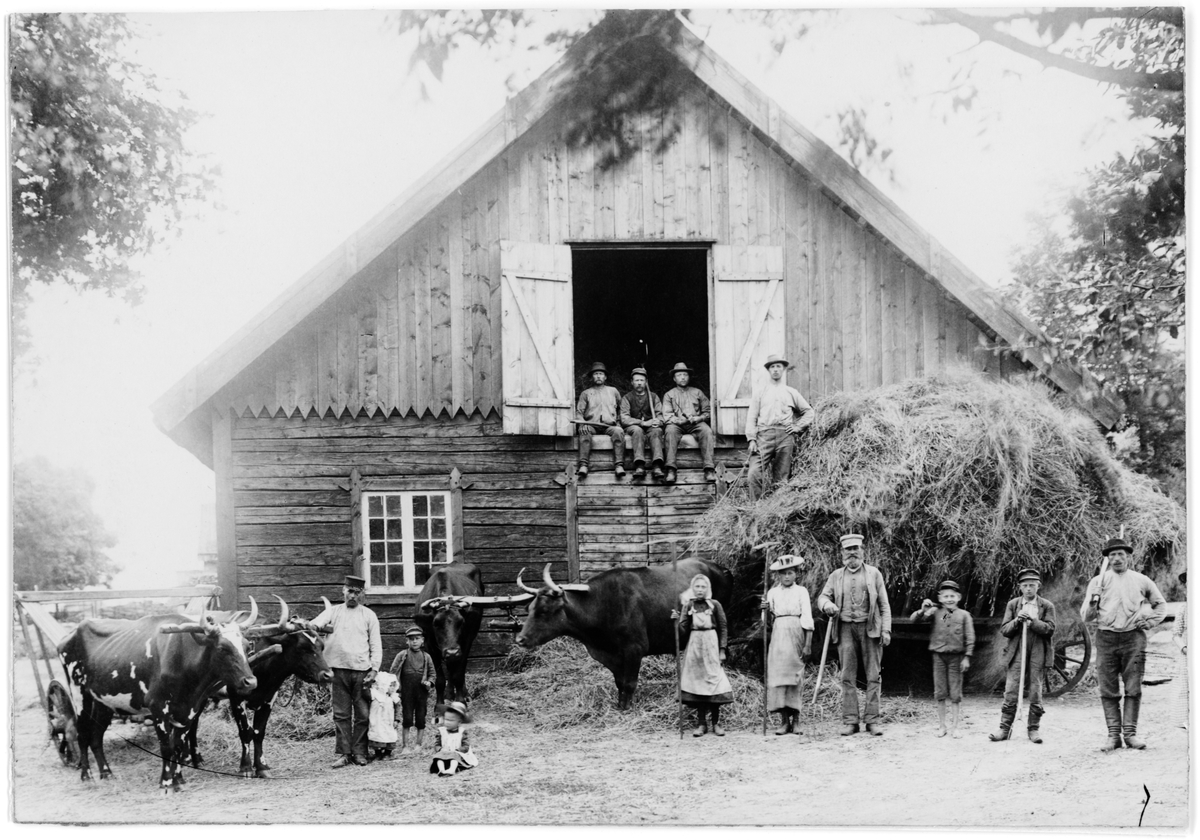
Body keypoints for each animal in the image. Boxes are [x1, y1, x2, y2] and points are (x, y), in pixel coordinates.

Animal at [58, 600, 260, 792]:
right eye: (222, 648)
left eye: (247, 646)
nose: (250, 682)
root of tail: (69, 635)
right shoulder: (158, 707)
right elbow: (166, 747)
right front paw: (166, 782)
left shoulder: (188, 710)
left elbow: (178, 746)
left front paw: (179, 781)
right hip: (79, 695)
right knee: (82, 734)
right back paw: (86, 775)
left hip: (103, 703)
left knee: (96, 737)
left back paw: (106, 773)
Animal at [183, 596, 334, 779]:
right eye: (302, 648)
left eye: (321, 645)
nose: (328, 675)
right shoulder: (236, 698)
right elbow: (245, 732)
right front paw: (246, 767)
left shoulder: (269, 698)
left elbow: (259, 732)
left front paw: (262, 766)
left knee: (193, 722)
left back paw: (196, 758)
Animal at [515, 559, 733, 709]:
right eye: (529, 608)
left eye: (544, 610)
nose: (519, 639)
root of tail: (716, 566)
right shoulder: (613, 655)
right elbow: (619, 683)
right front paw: (620, 706)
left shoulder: (634, 649)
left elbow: (629, 683)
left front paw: (628, 708)